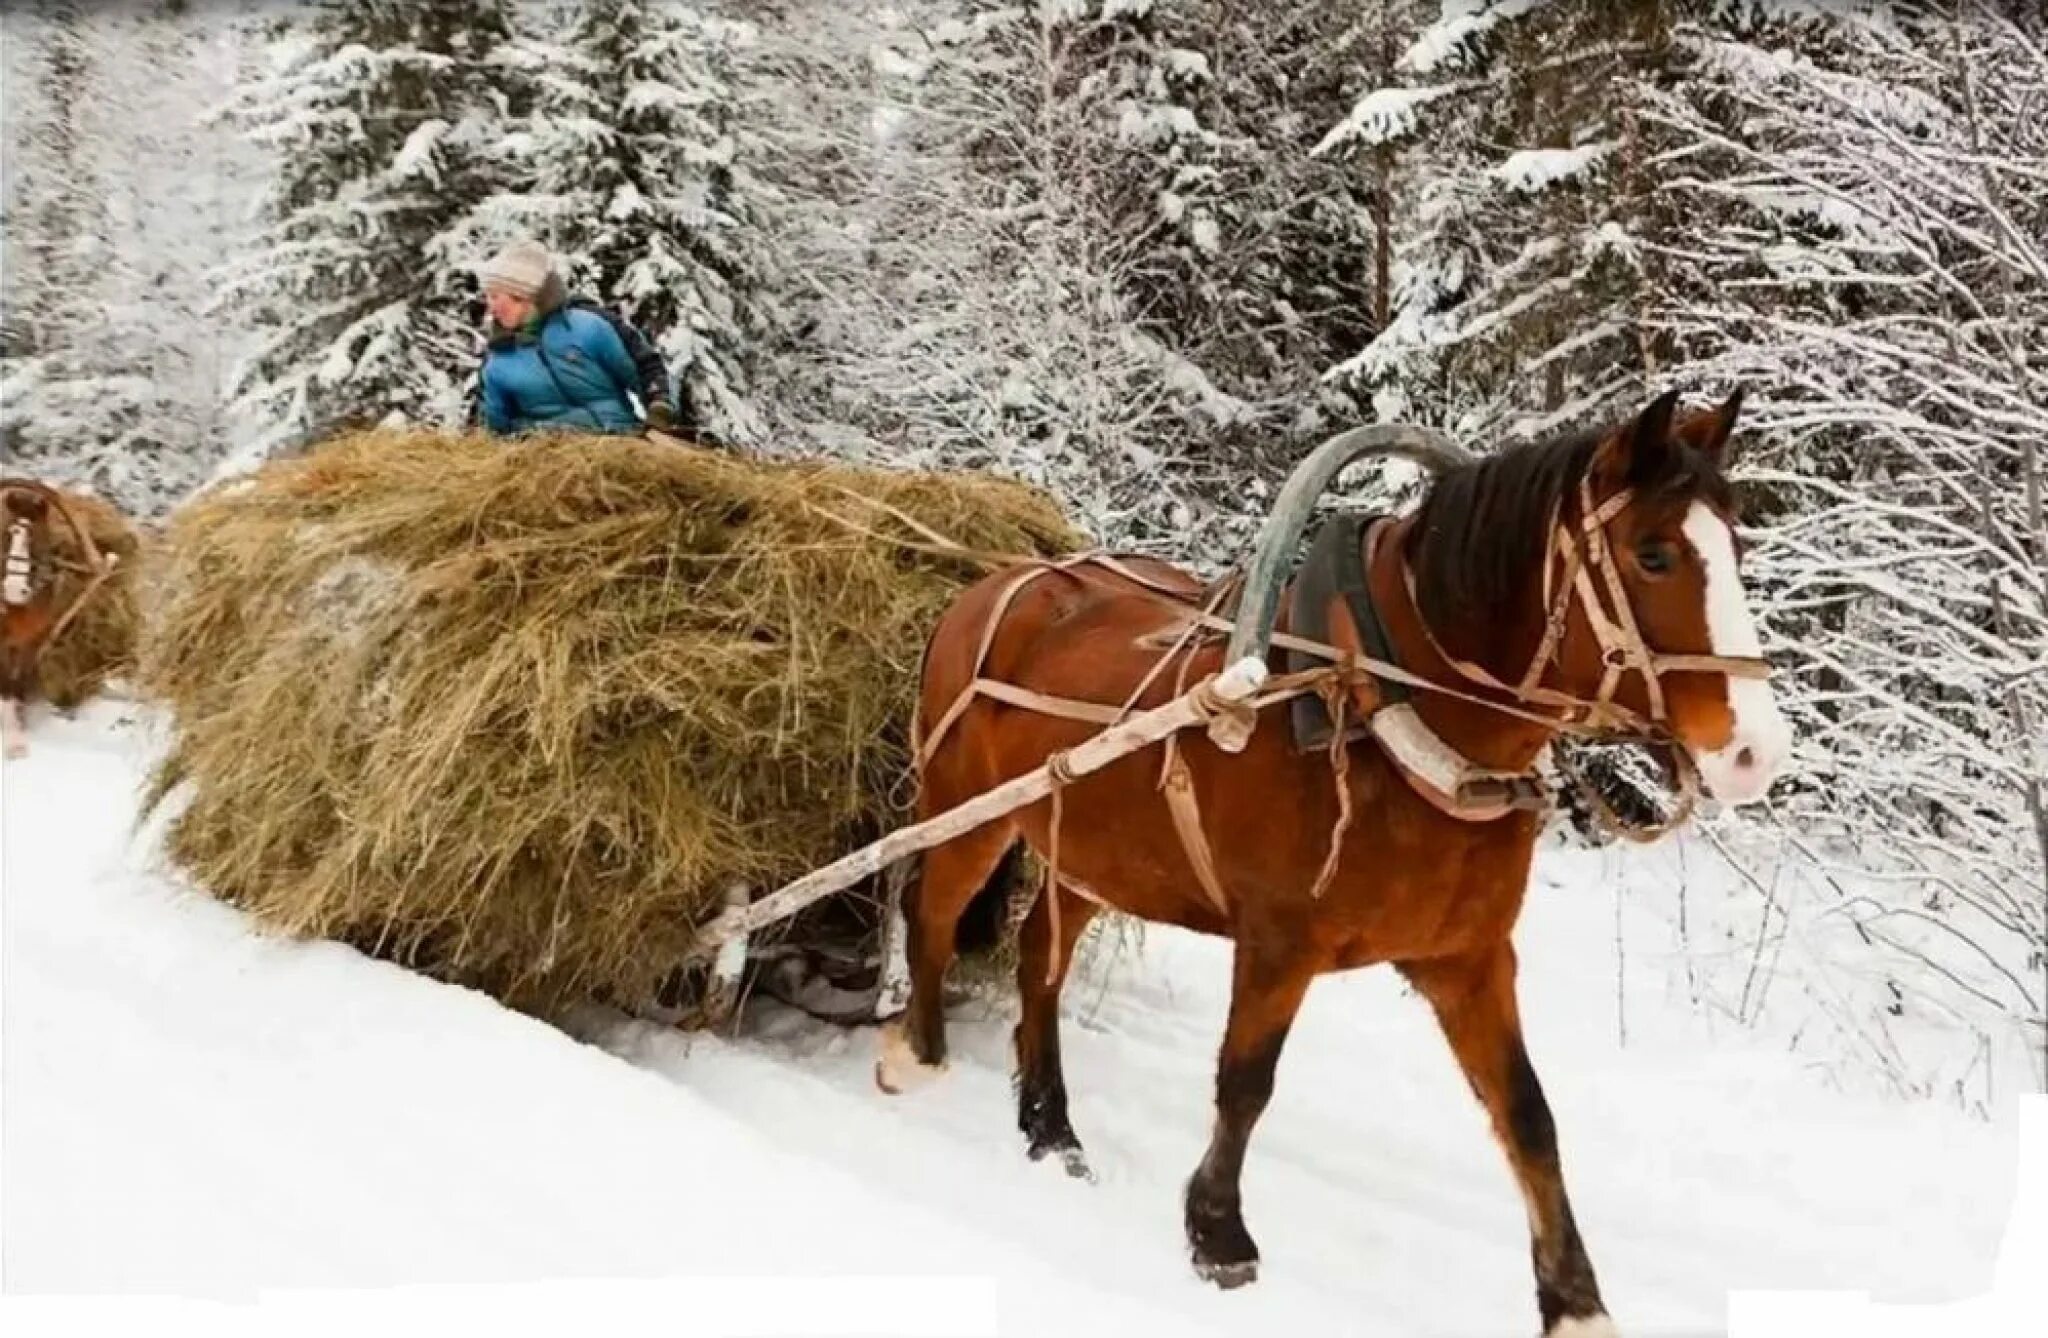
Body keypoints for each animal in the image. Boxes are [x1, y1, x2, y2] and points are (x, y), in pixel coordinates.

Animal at [880, 389, 1794, 1335]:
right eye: (1653, 554)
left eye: (1737, 546)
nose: (1756, 754)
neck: (1381, 708)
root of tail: (997, 583)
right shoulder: (1280, 943)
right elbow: (1247, 1081)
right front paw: (1219, 1232)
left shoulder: (1469, 959)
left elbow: (1527, 1116)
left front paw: (1573, 1297)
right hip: (967, 811)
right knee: (931, 910)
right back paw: (916, 1052)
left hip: (1089, 849)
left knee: (1039, 961)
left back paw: (1051, 1125)